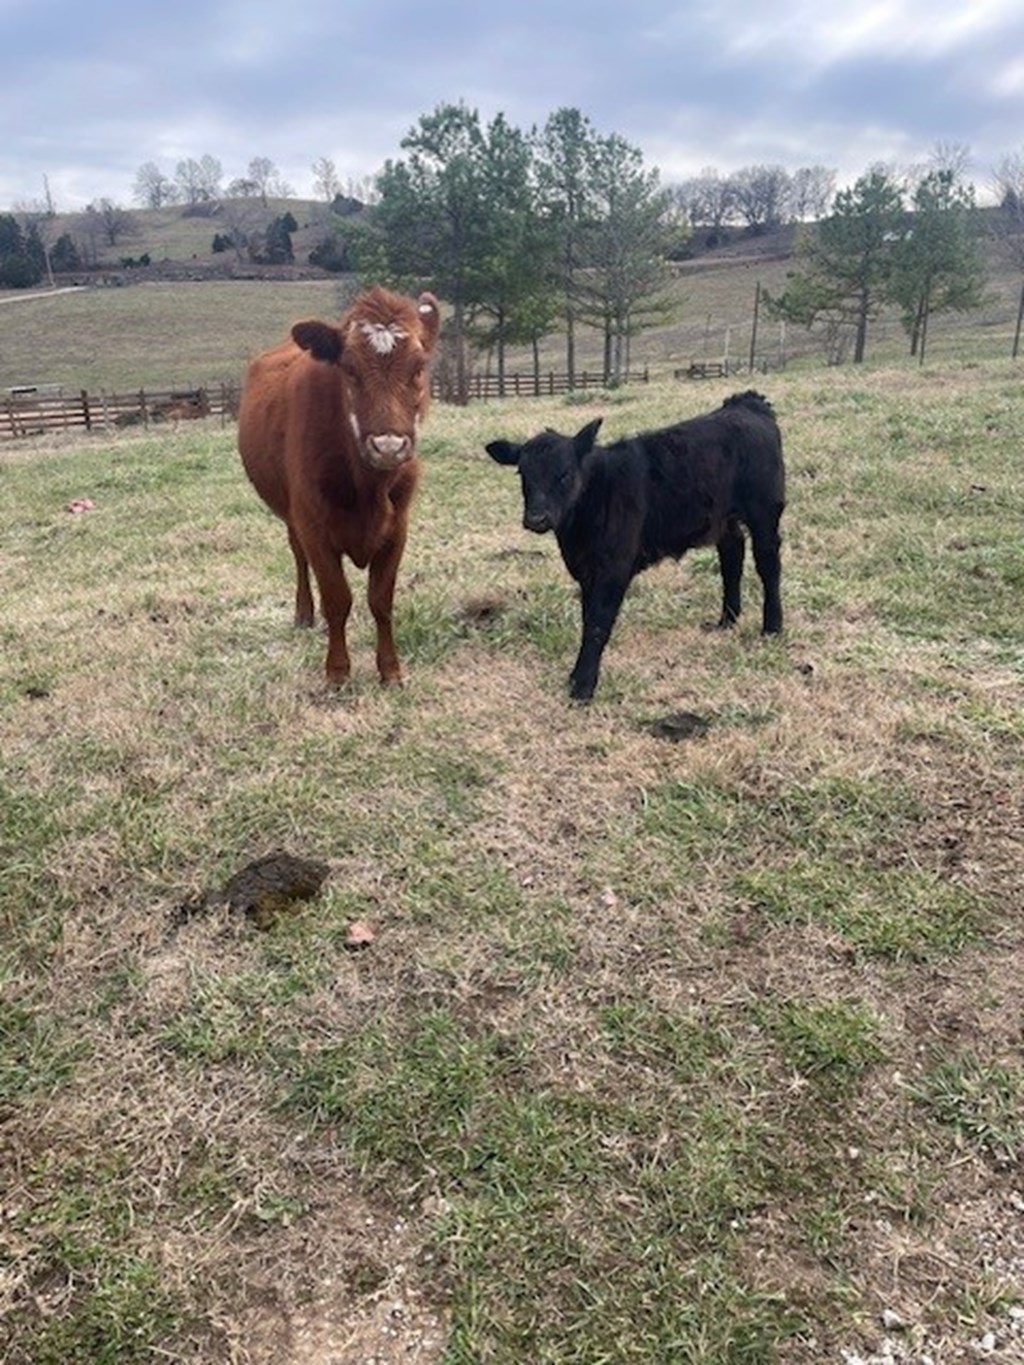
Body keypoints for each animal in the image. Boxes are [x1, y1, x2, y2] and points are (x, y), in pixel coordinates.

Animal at [238, 285, 442, 682]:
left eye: (419, 367)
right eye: (349, 369)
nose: (388, 446)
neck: (368, 488)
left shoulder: (398, 528)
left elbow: (380, 601)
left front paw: (390, 670)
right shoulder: (313, 526)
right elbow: (337, 599)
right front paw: (337, 672)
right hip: (291, 516)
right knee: (298, 557)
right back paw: (304, 613)